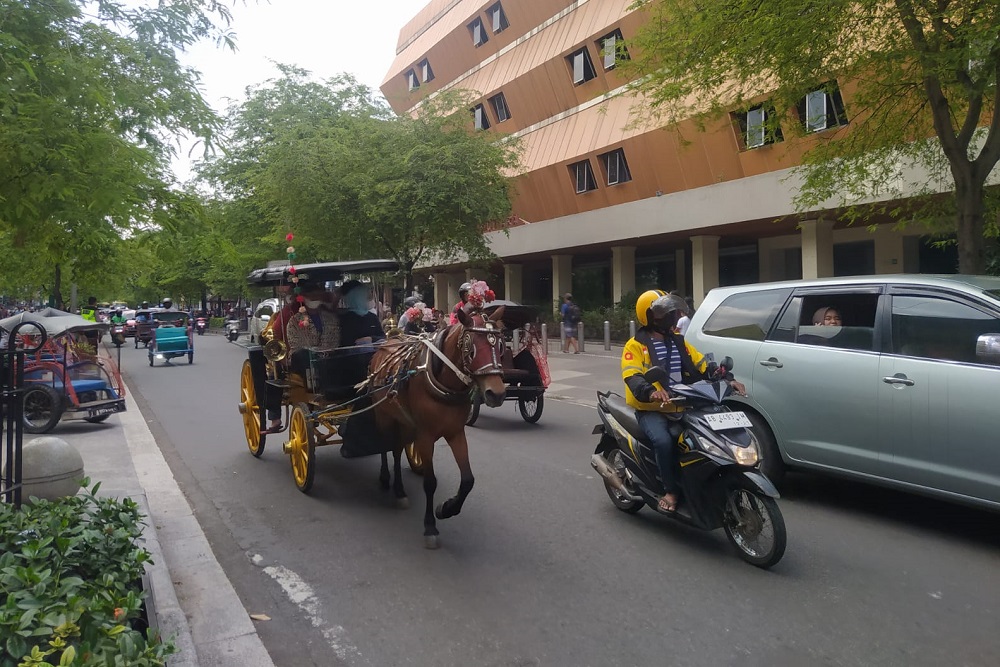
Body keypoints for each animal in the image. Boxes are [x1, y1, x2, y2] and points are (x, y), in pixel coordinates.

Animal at [370, 306, 508, 552]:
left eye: (500, 346)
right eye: (471, 348)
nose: (497, 393)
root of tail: (388, 340)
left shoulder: (456, 433)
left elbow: (468, 480)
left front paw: (446, 508)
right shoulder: (425, 436)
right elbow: (430, 482)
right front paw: (430, 526)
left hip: (404, 422)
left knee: (396, 450)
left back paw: (399, 490)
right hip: (383, 415)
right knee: (385, 447)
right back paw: (386, 479)